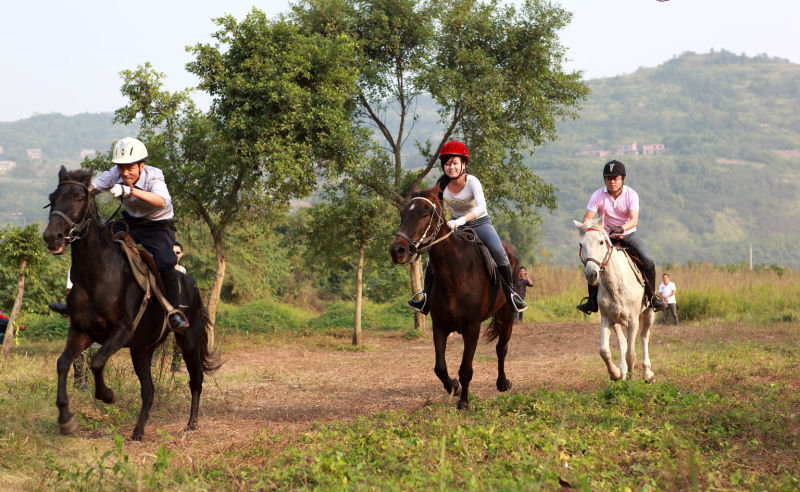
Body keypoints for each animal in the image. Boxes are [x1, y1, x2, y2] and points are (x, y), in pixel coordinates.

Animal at [43, 167, 222, 440]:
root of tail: (192, 284)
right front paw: (66, 420)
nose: (52, 237)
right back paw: (138, 431)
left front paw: (107, 395)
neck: (97, 274)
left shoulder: (122, 330)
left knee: (196, 380)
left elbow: (97, 362)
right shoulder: (82, 330)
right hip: (142, 349)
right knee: (149, 390)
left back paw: (191, 423)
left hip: (189, 341)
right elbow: (63, 363)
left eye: (79, 198)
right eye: (53, 197)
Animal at [390, 184, 520, 408]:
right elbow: (440, 367)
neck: (455, 271)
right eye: (402, 214)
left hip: (506, 314)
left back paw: (503, 383)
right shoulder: (440, 326)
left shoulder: (472, 328)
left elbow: (466, 369)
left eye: (424, 214)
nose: (397, 250)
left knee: (501, 347)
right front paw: (454, 386)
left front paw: (464, 403)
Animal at [576, 213, 656, 382]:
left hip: (648, 313)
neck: (617, 285)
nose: (591, 274)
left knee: (644, 336)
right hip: (616, 321)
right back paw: (623, 371)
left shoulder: (633, 320)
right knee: (623, 342)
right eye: (581, 244)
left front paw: (631, 380)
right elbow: (604, 351)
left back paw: (647, 373)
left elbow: (631, 354)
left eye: (601, 242)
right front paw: (616, 374)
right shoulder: (607, 318)